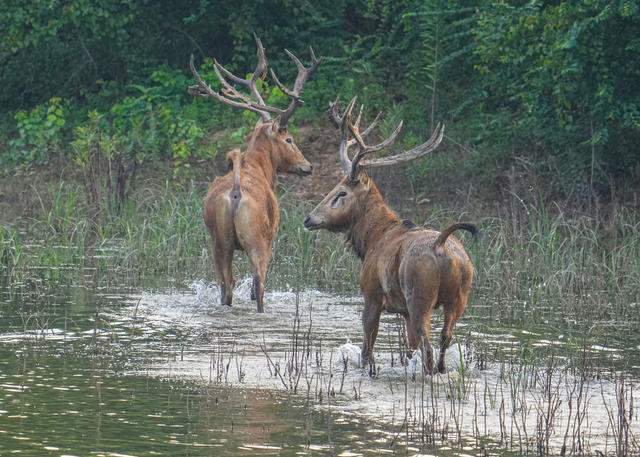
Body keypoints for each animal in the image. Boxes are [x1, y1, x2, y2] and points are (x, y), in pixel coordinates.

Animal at [188, 34, 321, 312]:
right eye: (290, 139)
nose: (308, 165)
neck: (260, 168)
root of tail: (236, 193)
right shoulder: (271, 236)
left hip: (218, 239)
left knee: (225, 285)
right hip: (257, 239)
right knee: (258, 285)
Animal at [303, 97, 476, 374]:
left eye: (341, 192)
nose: (308, 219)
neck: (371, 240)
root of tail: (441, 245)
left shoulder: (371, 294)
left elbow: (367, 348)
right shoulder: (403, 310)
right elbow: (409, 349)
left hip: (420, 296)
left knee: (428, 347)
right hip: (460, 296)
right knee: (444, 339)